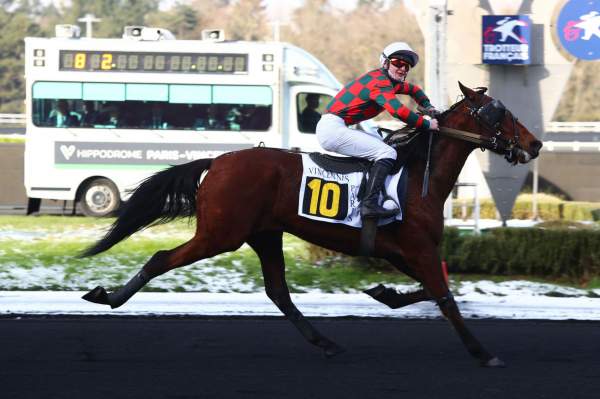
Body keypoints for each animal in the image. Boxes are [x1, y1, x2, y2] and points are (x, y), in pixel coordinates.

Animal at [81, 83, 544, 368]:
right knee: (162, 258)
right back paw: (109, 296)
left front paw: (384, 293)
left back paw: (326, 342)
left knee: (278, 292)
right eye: (500, 113)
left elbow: (431, 291)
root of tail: (217, 162)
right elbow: (445, 297)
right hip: (221, 235)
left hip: (264, 235)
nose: (535, 143)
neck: (417, 176)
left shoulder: (402, 250)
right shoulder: (418, 247)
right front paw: (483, 352)